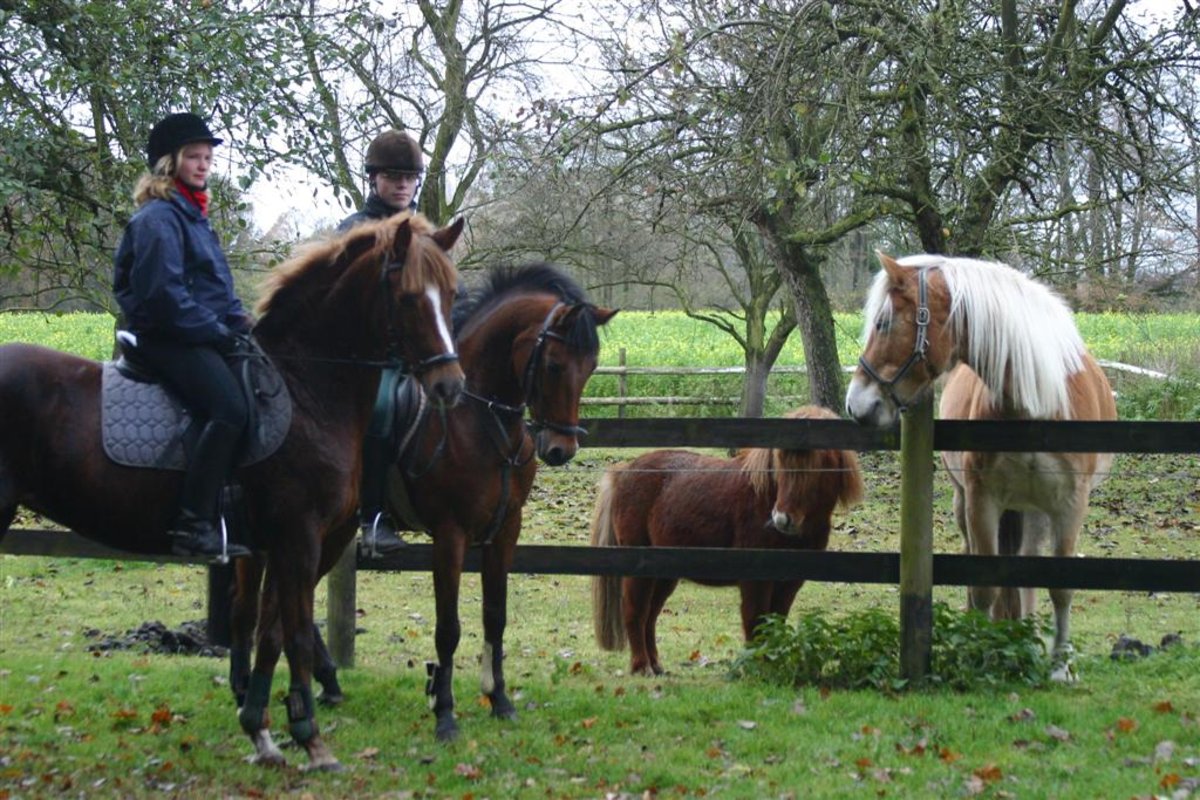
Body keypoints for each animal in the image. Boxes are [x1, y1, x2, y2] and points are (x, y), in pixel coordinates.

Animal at [0, 211, 465, 767]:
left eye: (452, 293)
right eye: (409, 297)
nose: (450, 387)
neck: (305, 390)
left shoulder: (273, 545)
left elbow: (267, 632)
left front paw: (262, 729)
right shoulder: (299, 539)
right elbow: (295, 635)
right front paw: (311, 738)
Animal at [228, 263, 614, 743]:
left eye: (591, 366)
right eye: (555, 364)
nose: (561, 450)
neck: (481, 419)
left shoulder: (506, 531)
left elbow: (495, 616)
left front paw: (499, 700)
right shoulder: (450, 535)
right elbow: (448, 628)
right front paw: (444, 712)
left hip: (328, 532)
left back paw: (325, 684)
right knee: (249, 605)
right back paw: (247, 690)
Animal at [590, 410, 864, 681]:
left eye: (818, 466)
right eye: (779, 464)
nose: (782, 519)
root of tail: (624, 470)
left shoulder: (790, 582)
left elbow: (775, 622)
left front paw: (771, 666)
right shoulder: (756, 580)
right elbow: (756, 621)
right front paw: (755, 668)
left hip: (665, 574)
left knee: (650, 615)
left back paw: (656, 665)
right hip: (640, 568)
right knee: (635, 612)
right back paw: (641, 666)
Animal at [844, 251, 1113, 676]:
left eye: (883, 323)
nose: (856, 404)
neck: (1037, 404)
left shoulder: (1070, 506)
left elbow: (1060, 585)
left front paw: (1060, 666)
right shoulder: (981, 501)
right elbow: (983, 582)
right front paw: (980, 651)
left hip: (1036, 511)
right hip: (967, 504)